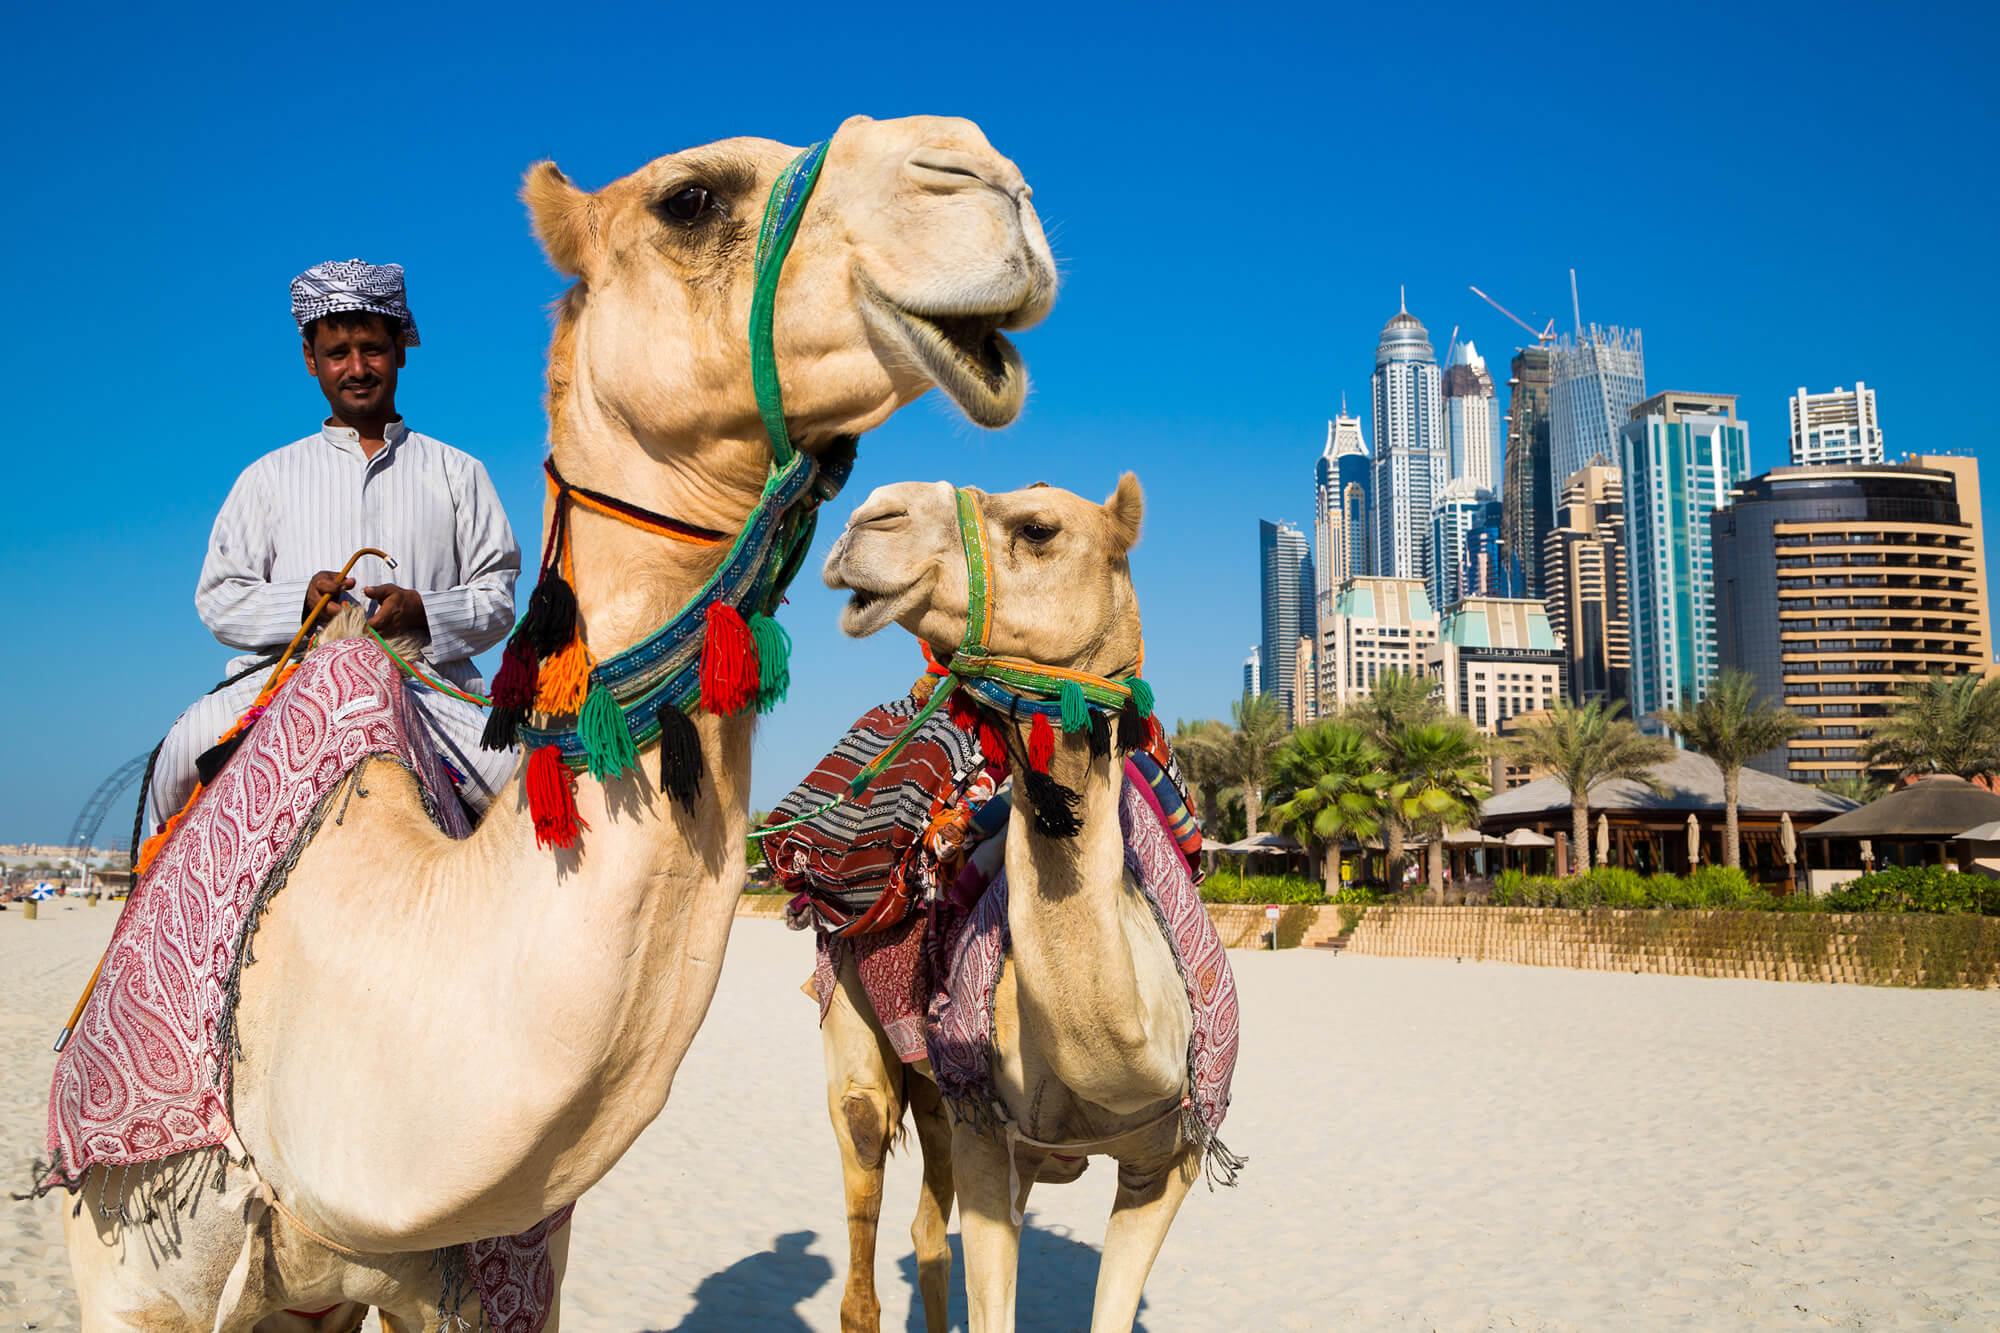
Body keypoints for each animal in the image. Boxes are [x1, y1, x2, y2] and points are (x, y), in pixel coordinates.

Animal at [816, 476, 1212, 1333]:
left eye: (1038, 528)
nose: (867, 517)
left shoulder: (1169, 1160)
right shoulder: (991, 1140)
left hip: (942, 1095)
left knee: (928, 1234)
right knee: (863, 1148)